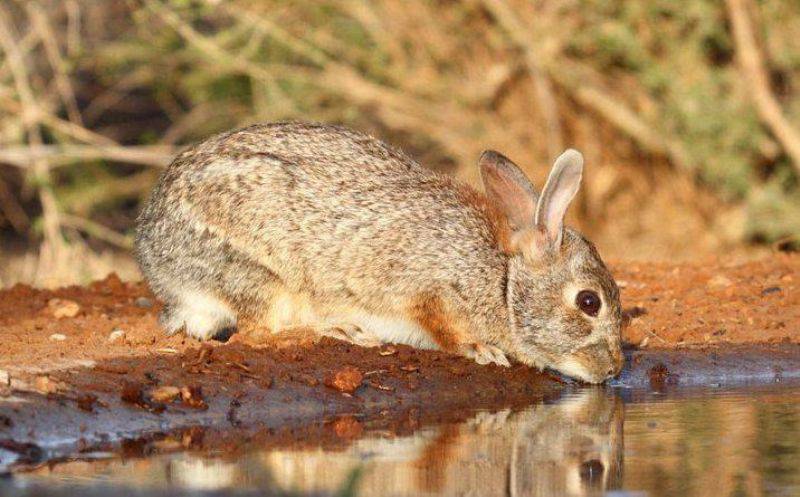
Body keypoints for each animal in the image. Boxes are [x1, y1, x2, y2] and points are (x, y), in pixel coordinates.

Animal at [136, 122, 624, 382]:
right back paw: (340, 330)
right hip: (256, 271)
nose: (614, 370)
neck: (503, 279)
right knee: (265, 329)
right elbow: (444, 326)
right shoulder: (434, 289)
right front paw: (482, 351)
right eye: (589, 302)